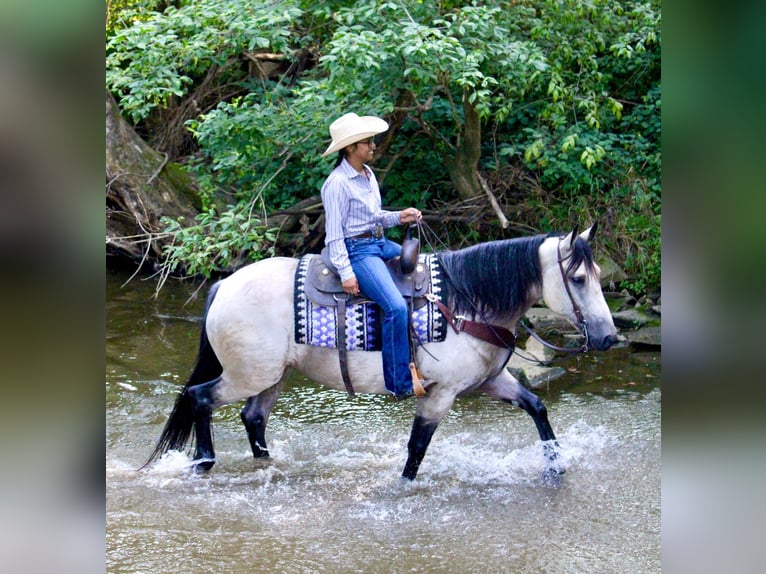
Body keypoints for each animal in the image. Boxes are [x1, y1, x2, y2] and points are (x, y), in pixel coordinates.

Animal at [144, 224, 620, 482]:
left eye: (598, 274)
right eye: (579, 278)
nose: (608, 337)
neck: (465, 303)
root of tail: (224, 285)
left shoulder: (489, 381)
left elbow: (537, 406)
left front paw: (555, 466)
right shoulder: (440, 393)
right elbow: (417, 448)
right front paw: (404, 486)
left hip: (273, 376)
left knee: (253, 417)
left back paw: (268, 462)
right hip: (248, 374)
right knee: (200, 397)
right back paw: (204, 461)